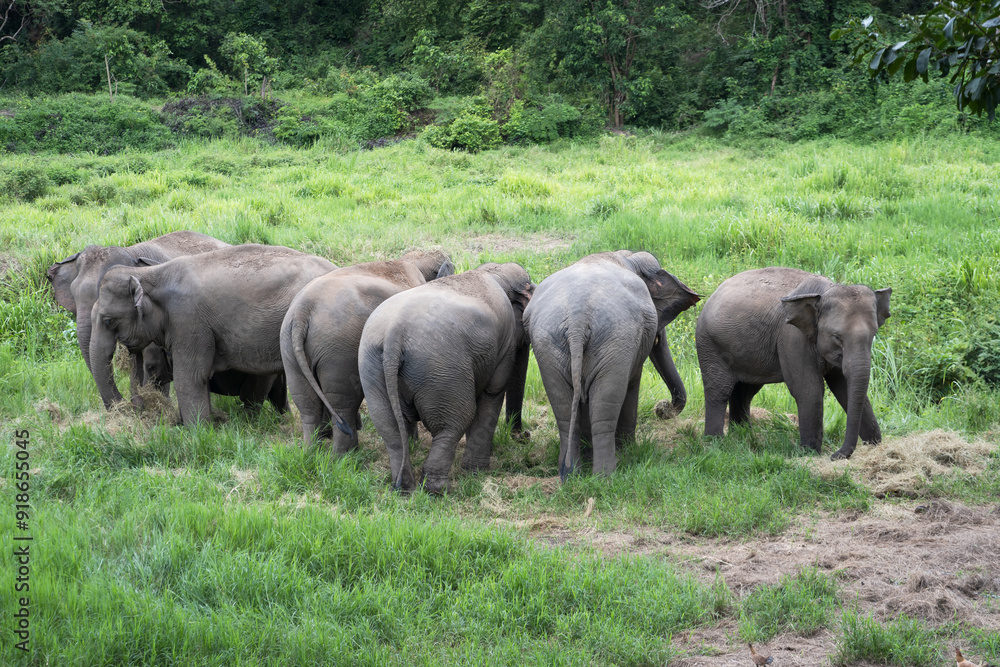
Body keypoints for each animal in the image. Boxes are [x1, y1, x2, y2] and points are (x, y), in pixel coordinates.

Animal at [280, 249, 455, 451]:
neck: (411, 261)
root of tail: (303, 310)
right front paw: (413, 442)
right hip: (338, 351)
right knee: (342, 403)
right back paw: (345, 453)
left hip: (289, 347)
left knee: (306, 402)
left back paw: (312, 451)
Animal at [358, 262, 534, 493]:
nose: (526, 436)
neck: (494, 271)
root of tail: (394, 335)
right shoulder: (503, 345)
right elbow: (492, 393)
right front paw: (477, 473)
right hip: (442, 368)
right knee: (454, 423)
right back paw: (438, 490)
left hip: (372, 366)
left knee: (389, 427)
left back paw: (404, 488)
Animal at [522, 251, 700, 481]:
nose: (661, 408)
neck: (626, 257)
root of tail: (577, 319)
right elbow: (632, 383)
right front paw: (629, 450)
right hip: (614, 340)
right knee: (605, 405)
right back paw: (605, 477)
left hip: (548, 344)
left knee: (563, 406)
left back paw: (570, 476)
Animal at [696, 267, 891, 460]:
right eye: (837, 337)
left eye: (874, 333)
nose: (835, 455)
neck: (824, 291)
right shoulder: (792, 337)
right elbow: (808, 389)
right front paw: (809, 454)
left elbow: (842, 387)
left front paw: (874, 444)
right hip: (710, 344)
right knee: (719, 390)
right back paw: (715, 443)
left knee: (744, 392)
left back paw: (742, 437)